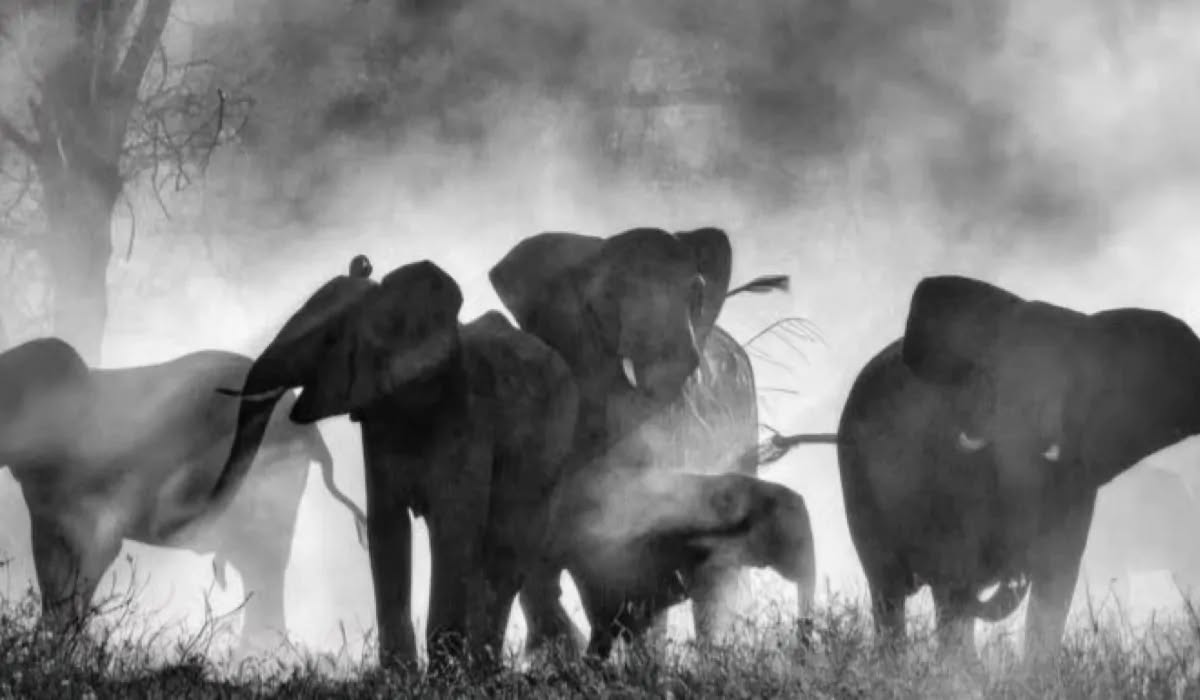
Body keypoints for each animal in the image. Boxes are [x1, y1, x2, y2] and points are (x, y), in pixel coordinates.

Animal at [204, 257, 579, 672]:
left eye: (331, 340)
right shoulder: (378, 420)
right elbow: (386, 526)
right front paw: (399, 675)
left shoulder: (468, 414)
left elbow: (453, 527)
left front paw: (443, 675)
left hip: (550, 454)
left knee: (505, 555)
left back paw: (484, 670)